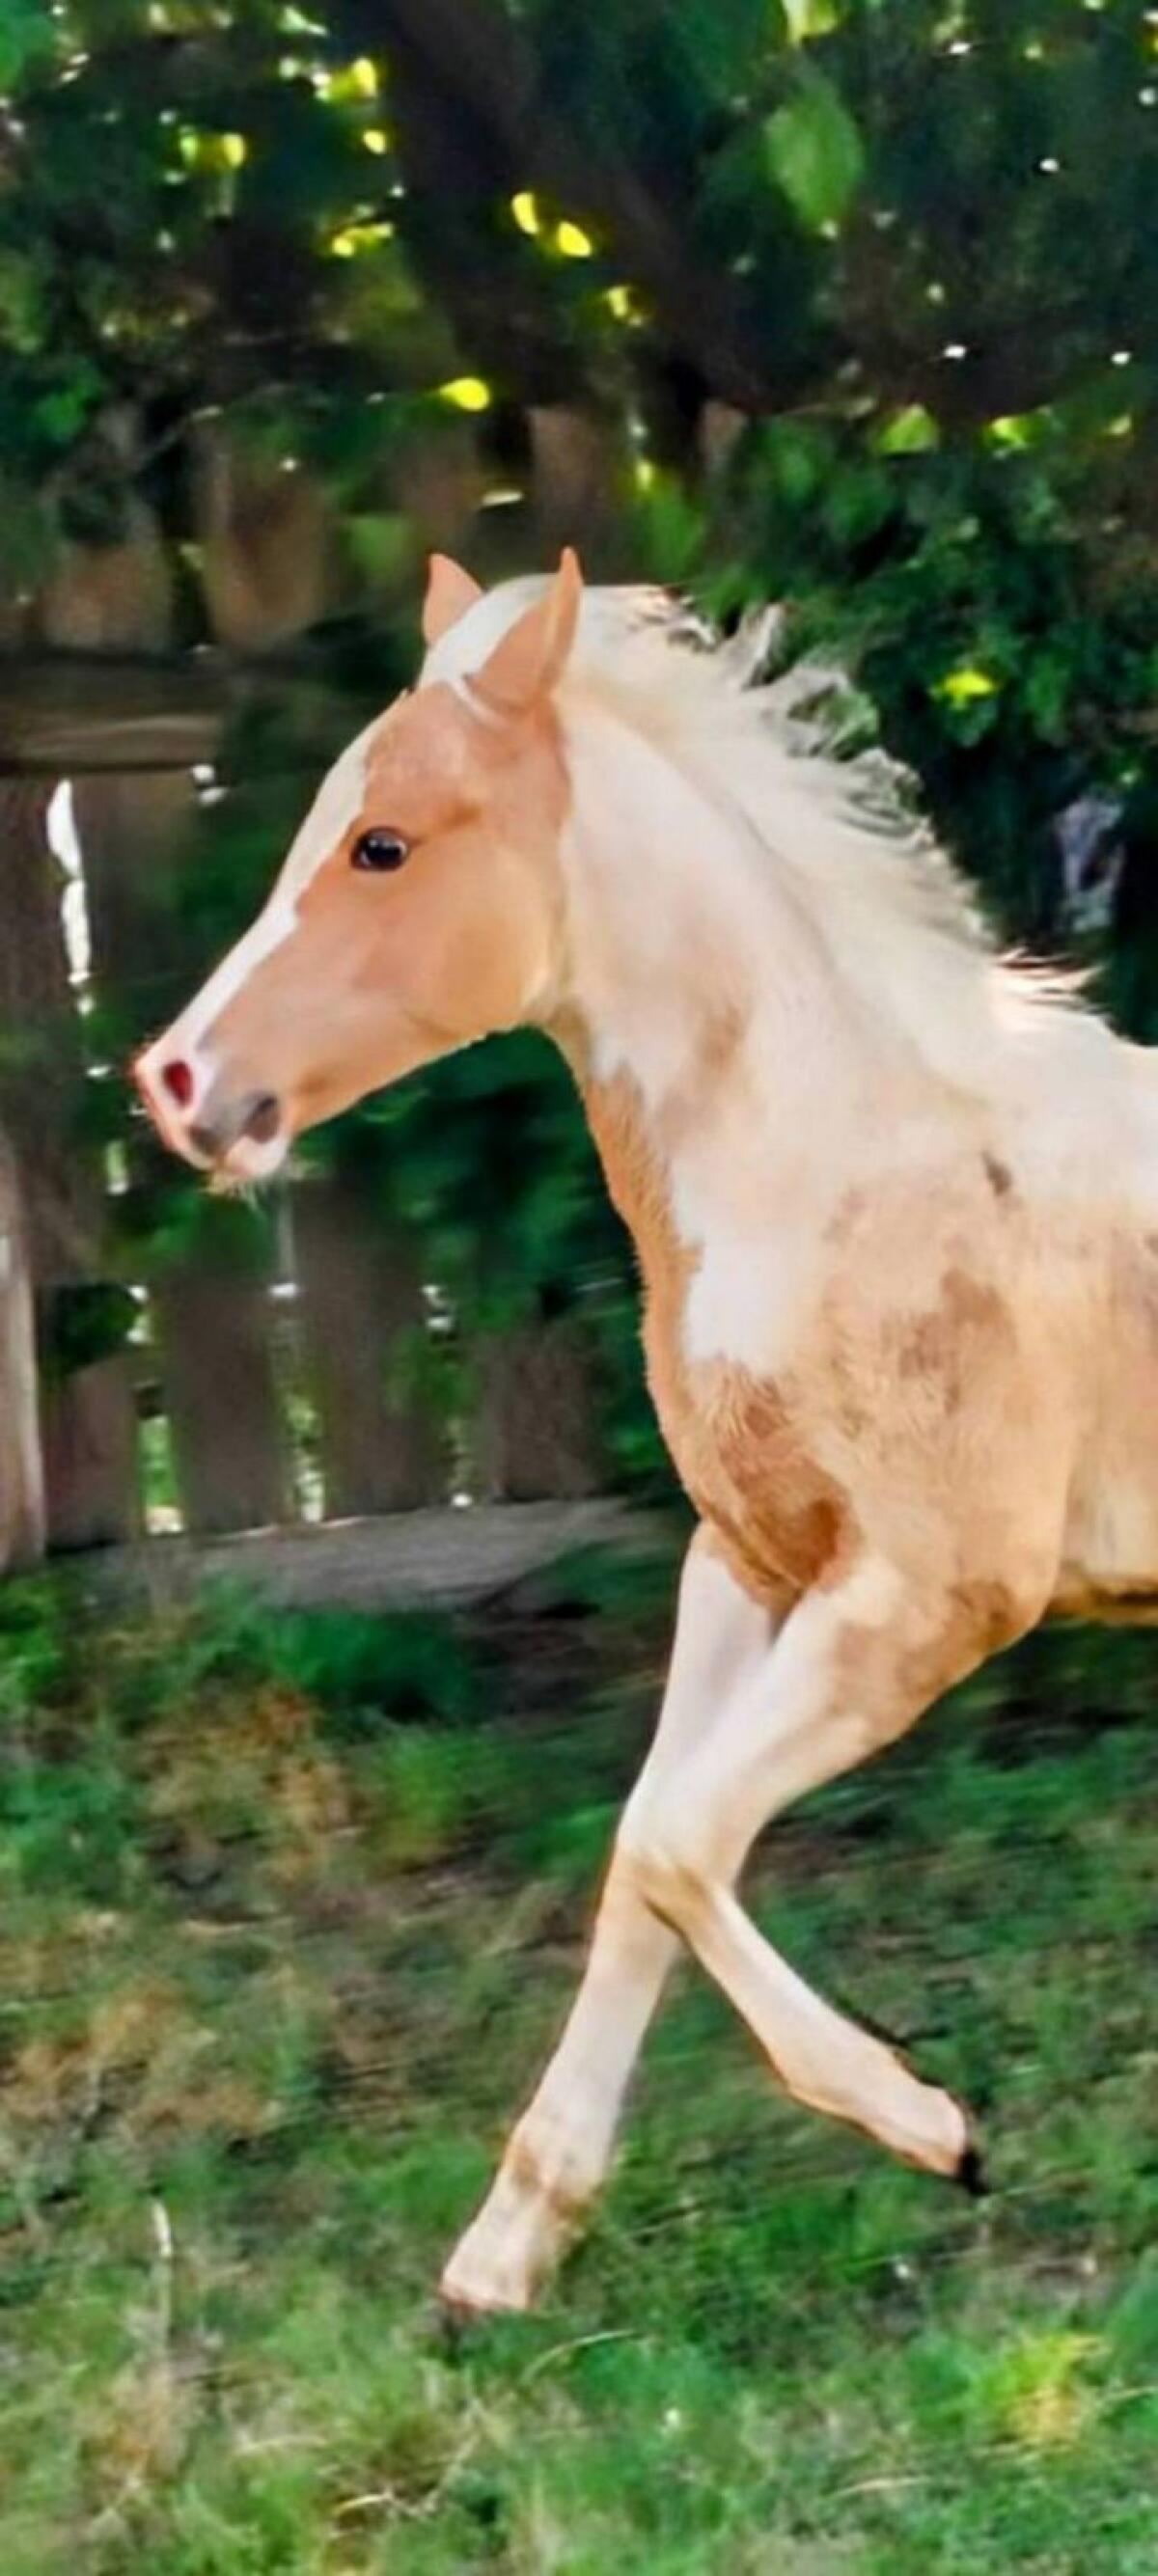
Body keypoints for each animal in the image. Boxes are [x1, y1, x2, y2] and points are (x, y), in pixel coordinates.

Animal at [136, 550, 1158, 2313]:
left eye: (384, 841)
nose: (179, 1082)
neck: (835, 1173)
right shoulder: (745, 1561)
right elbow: (639, 1860)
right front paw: (506, 2251)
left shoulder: (935, 1593)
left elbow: (677, 1842)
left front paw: (938, 2129)